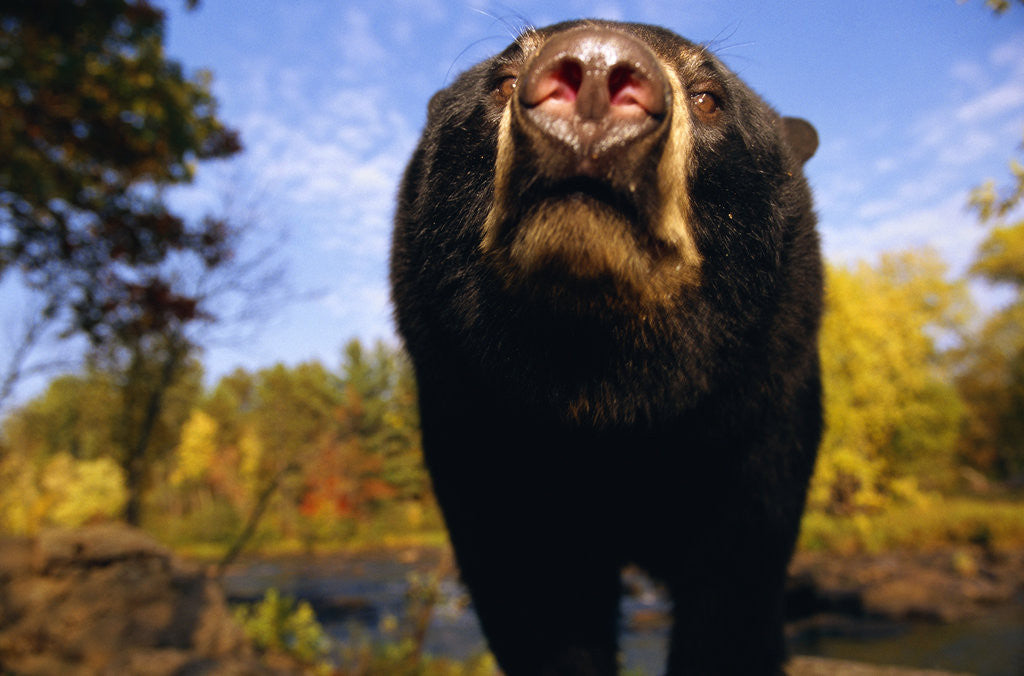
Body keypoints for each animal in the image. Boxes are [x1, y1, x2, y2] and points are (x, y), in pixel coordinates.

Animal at [390, 19, 822, 675]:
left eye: (709, 97)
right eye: (503, 80)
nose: (595, 71)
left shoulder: (762, 412)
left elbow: (735, 582)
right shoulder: (473, 430)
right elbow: (535, 599)